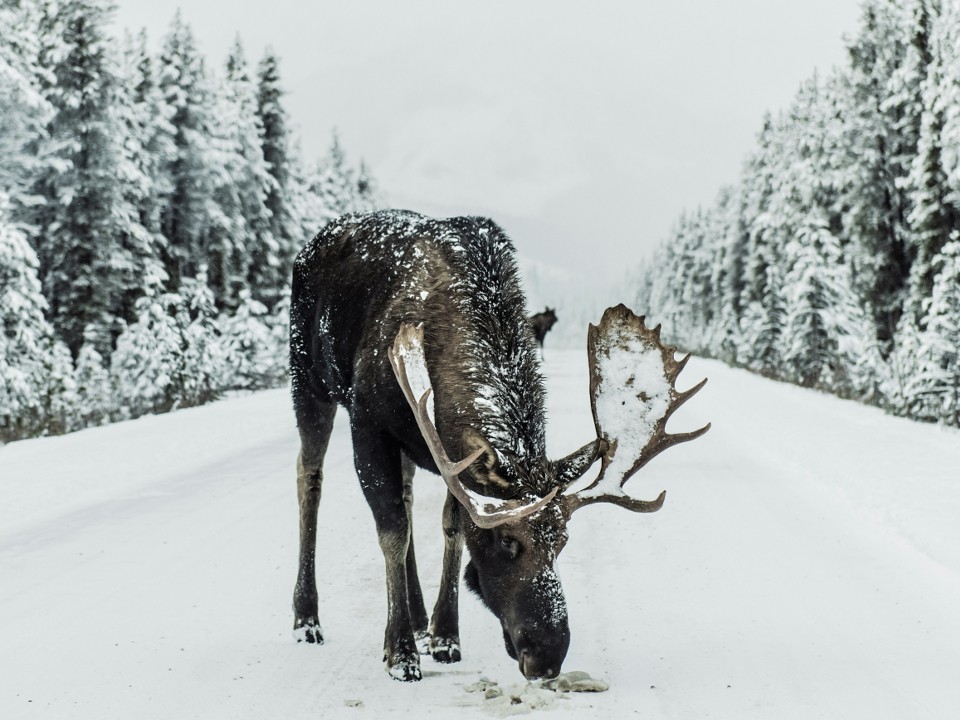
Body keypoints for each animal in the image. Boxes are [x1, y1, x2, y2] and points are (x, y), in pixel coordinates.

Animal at [288, 208, 708, 680]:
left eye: (562, 541)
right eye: (508, 541)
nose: (547, 656)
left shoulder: (448, 454)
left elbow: (451, 527)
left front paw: (444, 635)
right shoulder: (369, 422)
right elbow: (392, 530)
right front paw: (400, 653)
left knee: (408, 496)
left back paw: (417, 617)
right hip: (308, 380)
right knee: (309, 477)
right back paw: (307, 619)